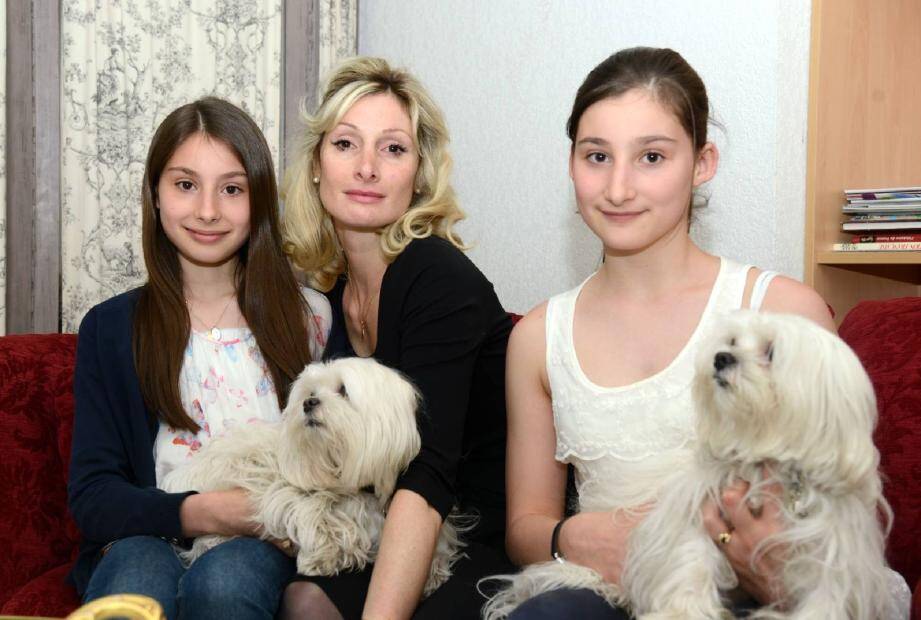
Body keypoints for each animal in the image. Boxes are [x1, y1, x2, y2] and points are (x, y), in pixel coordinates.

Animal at [162, 356, 460, 592]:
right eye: (310, 392)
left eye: (343, 390)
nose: (309, 403)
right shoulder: (279, 489)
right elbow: (313, 513)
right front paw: (321, 557)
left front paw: (434, 568)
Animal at [488, 312, 900, 616]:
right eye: (732, 342)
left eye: (771, 352)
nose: (721, 357)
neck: (761, 453)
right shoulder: (696, 510)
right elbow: (690, 558)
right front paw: (682, 611)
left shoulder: (833, 551)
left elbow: (826, 596)